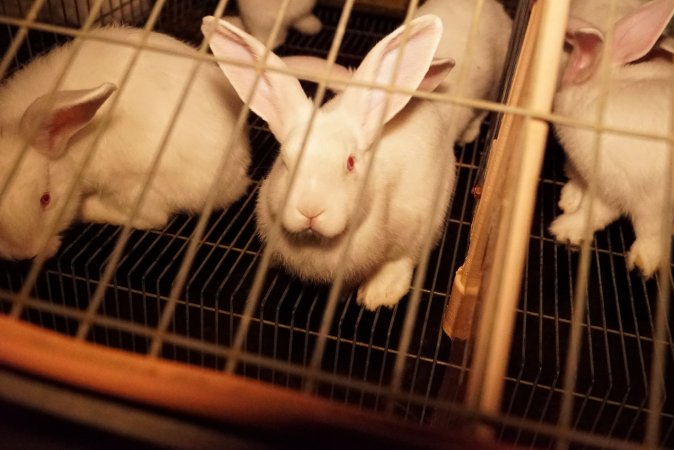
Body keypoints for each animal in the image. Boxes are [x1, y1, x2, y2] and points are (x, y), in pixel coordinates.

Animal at [0, 26, 251, 260]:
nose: (27, 253)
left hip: (133, 185)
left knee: (153, 218)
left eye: (46, 199)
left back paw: (88, 208)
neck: (70, 147)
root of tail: (235, 183)